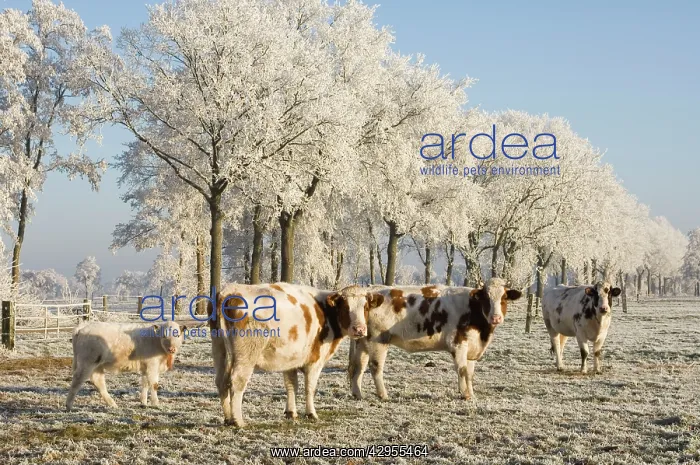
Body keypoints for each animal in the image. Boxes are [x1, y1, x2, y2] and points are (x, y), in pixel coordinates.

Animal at [209, 283, 384, 427]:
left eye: (366, 308)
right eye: (346, 307)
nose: (359, 329)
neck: (325, 312)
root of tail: (230, 290)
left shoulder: (290, 359)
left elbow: (291, 385)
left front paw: (291, 413)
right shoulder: (315, 361)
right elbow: (310, 387)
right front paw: (311, 413)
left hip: (220, 350)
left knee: (221, 381)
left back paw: (228, 418)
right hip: (246, 356)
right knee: (237, 382)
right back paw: (238, 421)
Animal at [348, 279, 522, 401]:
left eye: (504, 298)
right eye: (486, 298)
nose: (496, 317)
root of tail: (370, 291)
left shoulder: (472, 348)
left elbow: (470, 373)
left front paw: (471, 394)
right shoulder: (458, 343)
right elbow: (462, 370)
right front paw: (465, 395)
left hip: (362, 341)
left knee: (358, 367)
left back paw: (358, 394)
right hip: (378, 340)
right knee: (375, 367)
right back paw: (383, 395)